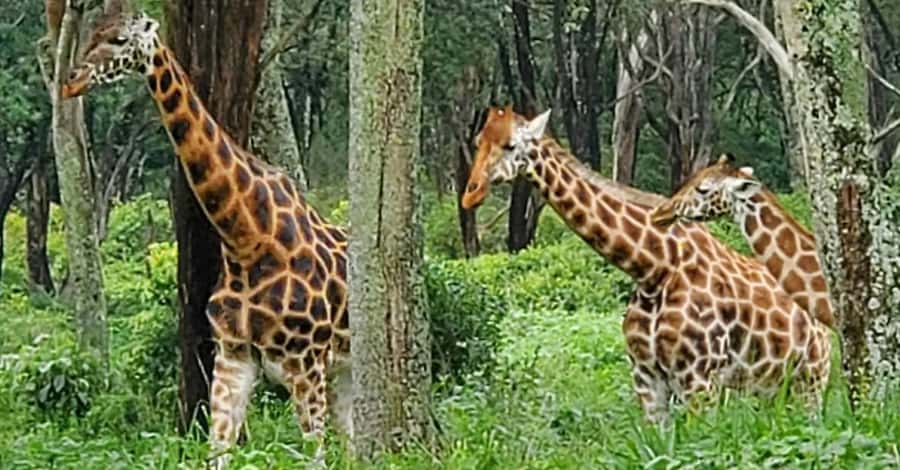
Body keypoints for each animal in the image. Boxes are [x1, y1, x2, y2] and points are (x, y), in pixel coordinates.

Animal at [61, 12, 350, 466]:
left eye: (120, 39)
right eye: (91, 34)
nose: (71, 80)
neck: (246, 239)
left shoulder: (305, 363)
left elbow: (313, 456)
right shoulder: (232, 359)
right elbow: (217, 451)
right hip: (342, 371)